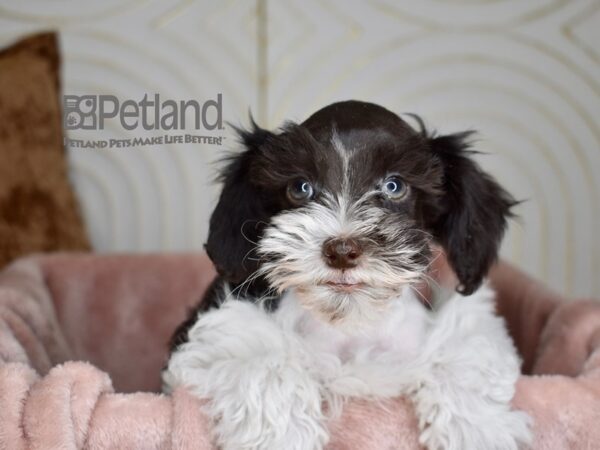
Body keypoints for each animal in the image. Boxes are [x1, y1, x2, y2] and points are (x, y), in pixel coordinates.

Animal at [162, 101, 532, 450]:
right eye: (301, 187)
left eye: (394, 186)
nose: (341, 250)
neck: (351, 323)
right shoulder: (223, 330)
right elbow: (264, 361)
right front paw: (284, 438)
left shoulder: (465, 326)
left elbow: (462, 353)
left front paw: (478, 432)